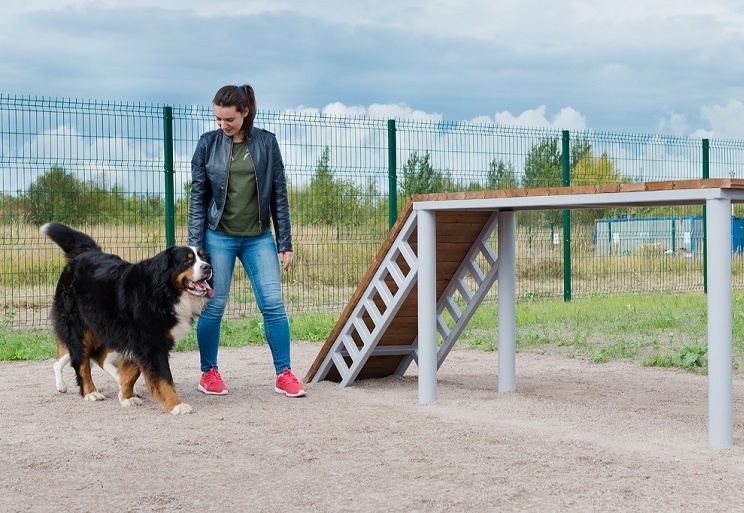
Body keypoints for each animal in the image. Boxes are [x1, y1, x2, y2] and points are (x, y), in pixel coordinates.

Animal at [41, 222, 212, 414]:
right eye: (187, 260)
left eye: (203, 257)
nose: (208, 267)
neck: (163, 291)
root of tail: (86, 253)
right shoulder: (151, 343)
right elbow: (165, 377)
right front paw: (176, 405)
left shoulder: (137, 342)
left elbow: (132, 373)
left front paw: (126, 396)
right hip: (79, 329)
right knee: (81, 363)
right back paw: (90, 392)